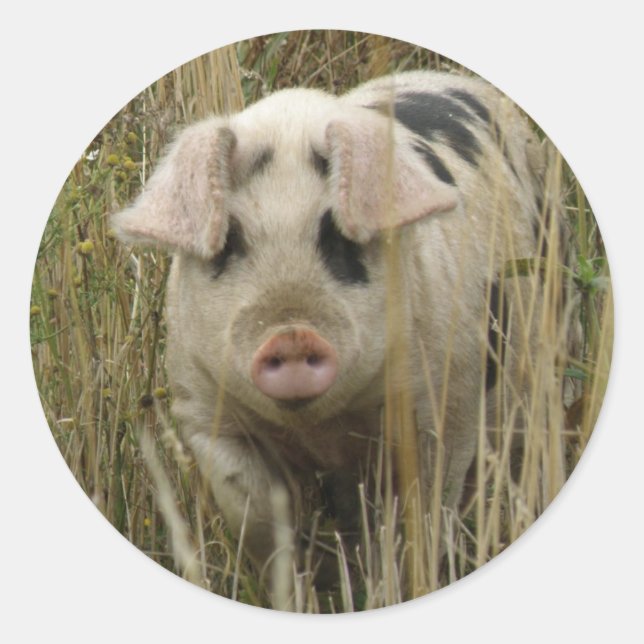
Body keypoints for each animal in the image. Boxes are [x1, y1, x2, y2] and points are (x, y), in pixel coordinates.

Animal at [112, 70, 554, 600]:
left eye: (339, 236)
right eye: (230, 240)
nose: (292, 336)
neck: (322, 429)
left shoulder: (447, 404)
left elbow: (422, 516)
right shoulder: (205, 411)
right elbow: (257, 518)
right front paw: (306, 587)